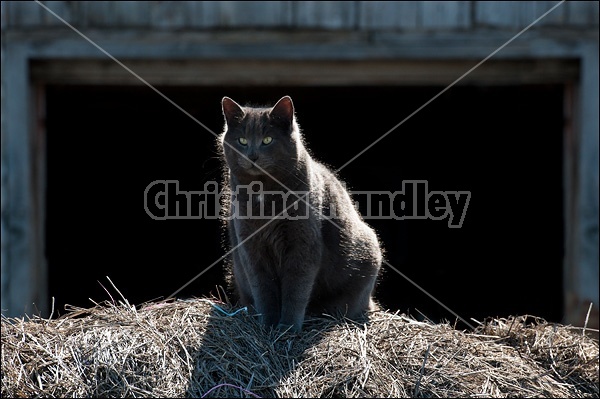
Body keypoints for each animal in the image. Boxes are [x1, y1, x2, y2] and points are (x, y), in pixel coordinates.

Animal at [219, 95, 380, 332]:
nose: (252, 155)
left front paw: (288, 327)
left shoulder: (302, 243)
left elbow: (296, 288)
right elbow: (263, 287)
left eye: (267, 140)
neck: (263, 191)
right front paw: (268, 324)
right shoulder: (251, 246)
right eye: (242, 141)